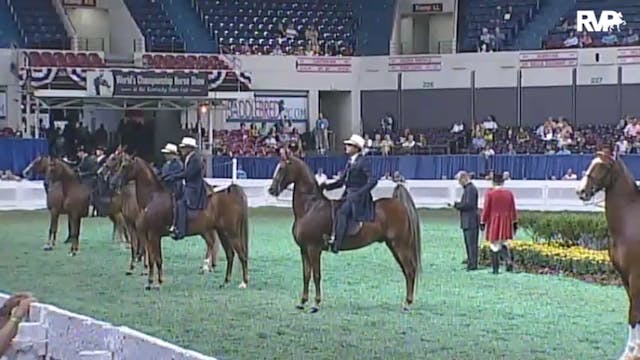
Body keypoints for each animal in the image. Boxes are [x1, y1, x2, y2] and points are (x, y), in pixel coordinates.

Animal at [111, 155, 249, 290]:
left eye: (124, 166)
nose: (113, 183)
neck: (153, 198)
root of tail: (231, 194)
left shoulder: (153, 235)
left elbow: (155, 259)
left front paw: (155, 283)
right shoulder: (151, 236)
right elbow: (154, 259)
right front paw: (154, 281)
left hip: (231, 233)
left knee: (241, 255)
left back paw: (243, 282)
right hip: (222, 233)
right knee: (230, 254)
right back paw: (225, 282)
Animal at [268, 152, 422, 312]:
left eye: (282, 168)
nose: (271, 190)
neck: (310, 207)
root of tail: (399, 205)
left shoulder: (313, 249)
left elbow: (316, 275)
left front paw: (316, 304)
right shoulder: (304, 249)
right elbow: (306, 275)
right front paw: (302, 302)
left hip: (400, 246)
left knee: (410, 270)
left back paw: (407, 304)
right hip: (393, 246)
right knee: (406, 271)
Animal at [576, 150, 640, 360]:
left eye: (603, 166)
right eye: (591, 162)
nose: (581, 191)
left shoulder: (635, 277)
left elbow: (633, 313)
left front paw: (631, 352)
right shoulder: (624, 277)